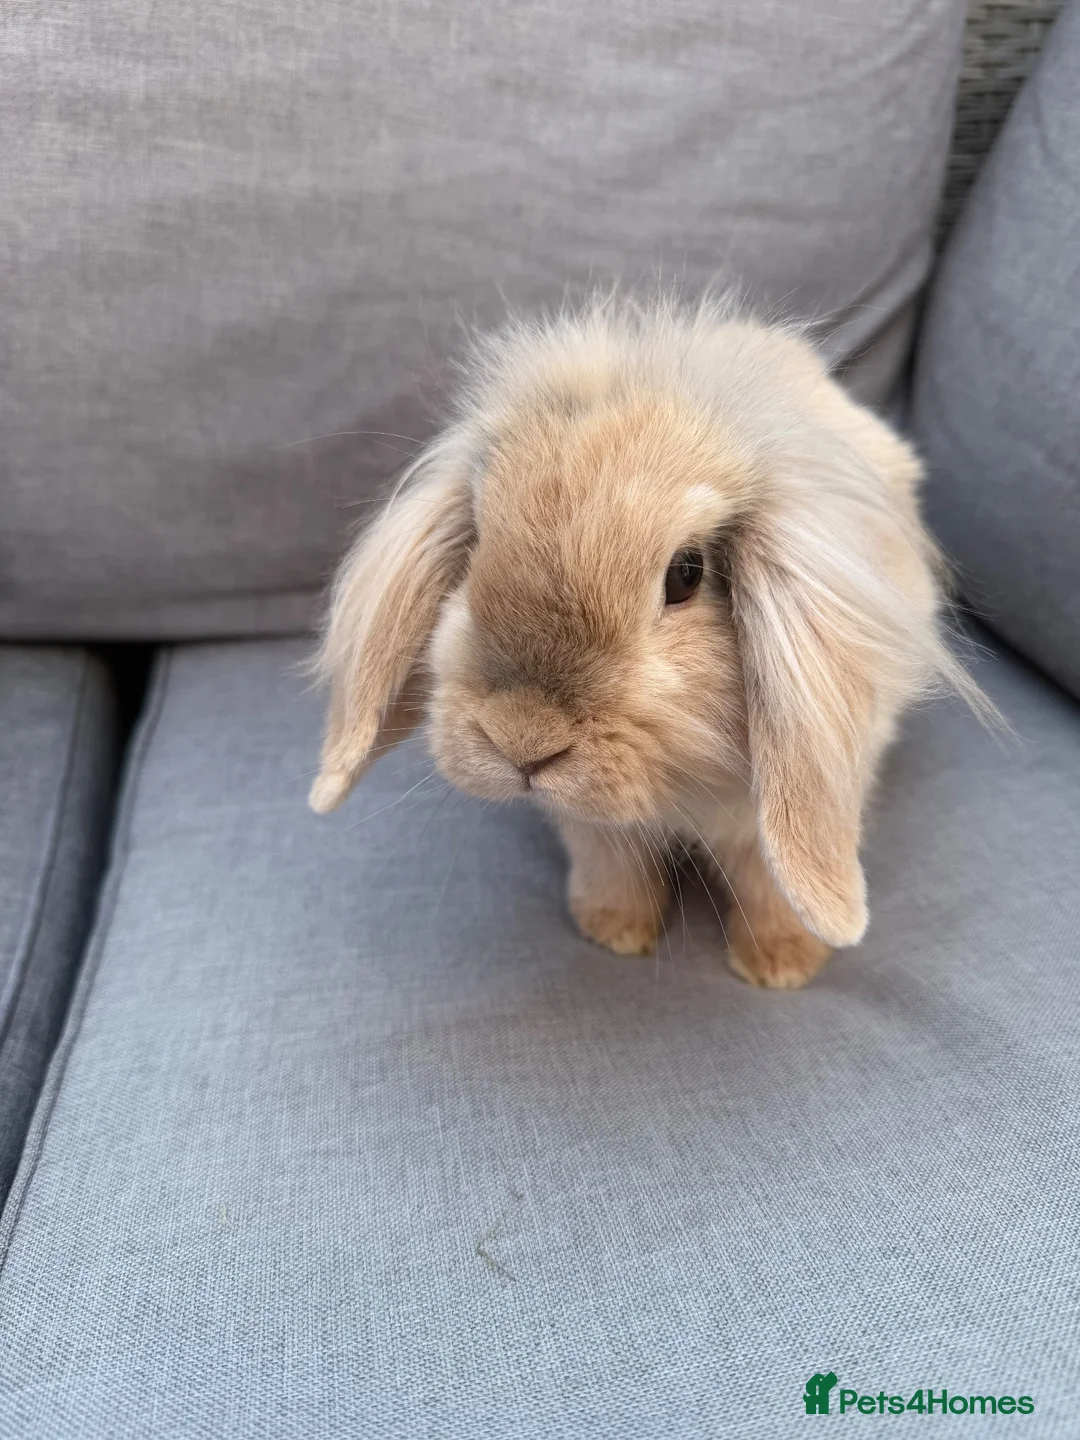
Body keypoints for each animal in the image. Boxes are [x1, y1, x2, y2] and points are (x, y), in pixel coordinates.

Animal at [309, 296, 984, 989]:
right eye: (474, 548)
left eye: (686, 574)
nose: (522, 741)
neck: (676, 785)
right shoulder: (594, 829)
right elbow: (615, 869)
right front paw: (613, 932)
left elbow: (770, 886)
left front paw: (781, 967)